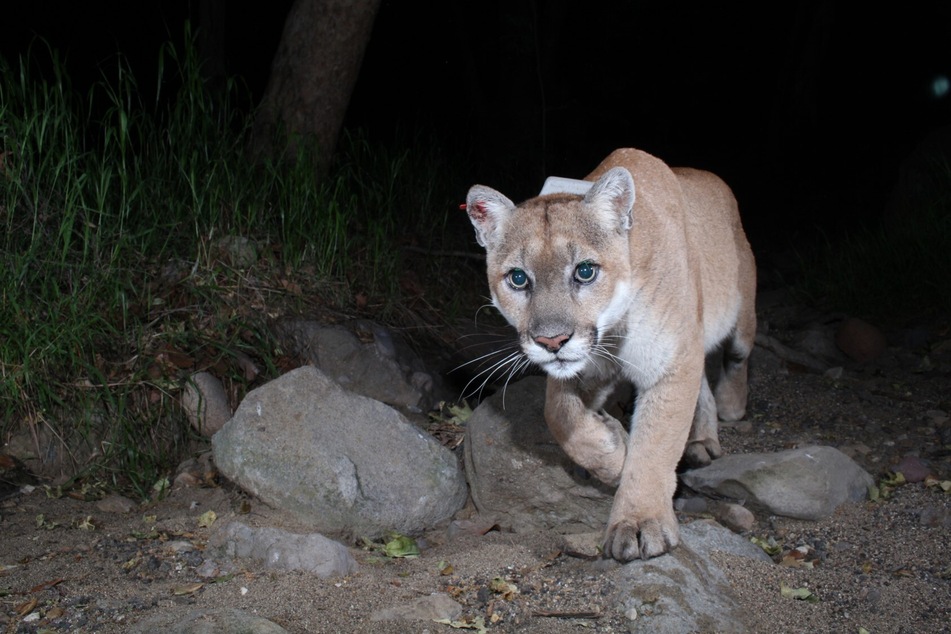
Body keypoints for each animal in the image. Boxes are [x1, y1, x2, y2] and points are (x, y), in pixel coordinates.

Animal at [464, 148, 756, 556]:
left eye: (585, 271)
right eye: (518, 278)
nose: (552, 341)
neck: (613, 330)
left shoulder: (671, 363)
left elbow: (655, 445)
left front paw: (639, 521)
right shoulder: (588, 369)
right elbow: (558, 414)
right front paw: (613, 453)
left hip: (740, 312)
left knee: (736, 357)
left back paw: (730, 406)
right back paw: (700, 440)